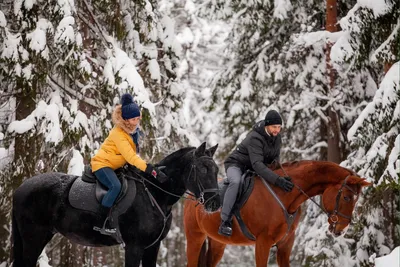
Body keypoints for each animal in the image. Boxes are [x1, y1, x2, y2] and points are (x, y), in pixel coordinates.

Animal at [11, 143, 222, 266]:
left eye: (216, 169)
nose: (215, 203)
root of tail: (21, 187)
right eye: (202, 169)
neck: (154, 195)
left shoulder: (153, 247)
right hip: (33, 238)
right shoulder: (134, 247)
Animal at [184, 160, 372, 266]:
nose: (342, 229)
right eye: (347, 197)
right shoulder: (263, 243)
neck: (283, 194)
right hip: (195, 238)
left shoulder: (285, 245)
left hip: (217, 243)